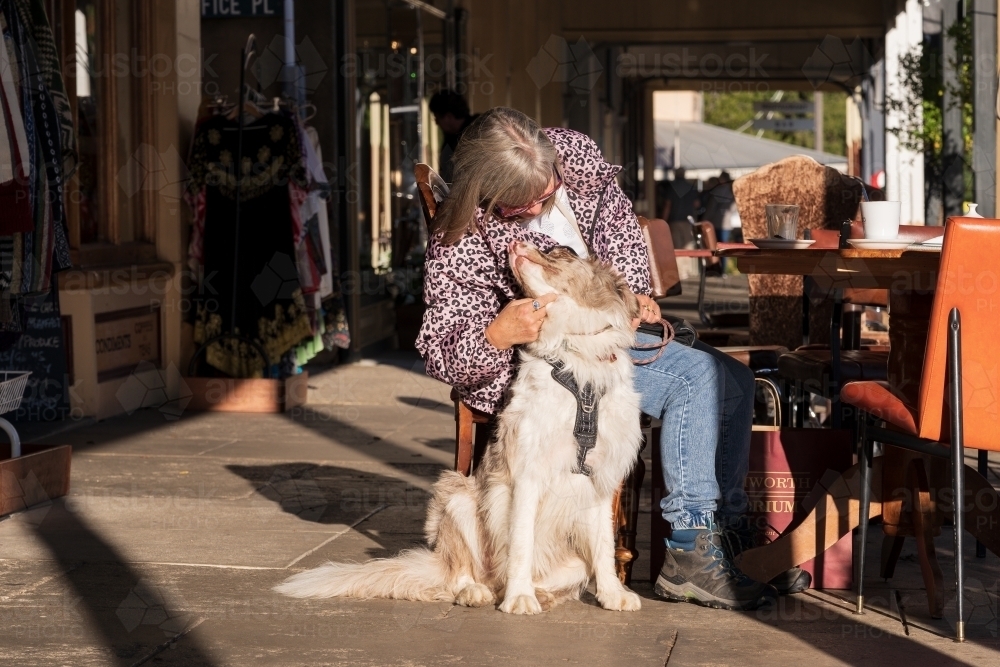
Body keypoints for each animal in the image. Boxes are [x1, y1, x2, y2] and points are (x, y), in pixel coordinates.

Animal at [276, 241, 640, 616]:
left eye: (562, 251)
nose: (515, 243)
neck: (575, 360)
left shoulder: (600, 479)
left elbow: (604, 546)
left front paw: (612, 593)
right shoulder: (526, 474)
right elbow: (521, 543)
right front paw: (519, 597)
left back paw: (540, 593)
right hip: (457, 497)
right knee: (463, 573)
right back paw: (478, 591)